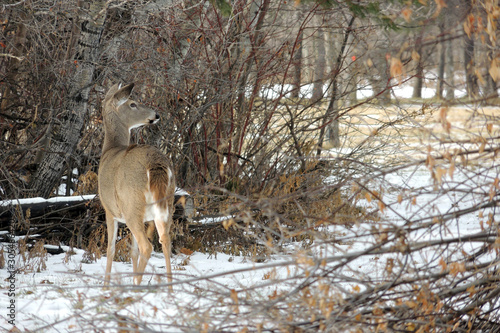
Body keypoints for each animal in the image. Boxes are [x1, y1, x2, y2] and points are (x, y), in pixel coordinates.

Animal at [98, 83, 176, 288]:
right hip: (166, 204)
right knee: (165, 241)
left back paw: (136, 287)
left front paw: (105, 286)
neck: (109, 150)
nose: (156, 114)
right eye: (132, 104)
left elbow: (110, 249)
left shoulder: (109, 209)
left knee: (147, 246)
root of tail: (155, 163)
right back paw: (170, 288)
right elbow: (132, 251)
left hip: (132, 204)